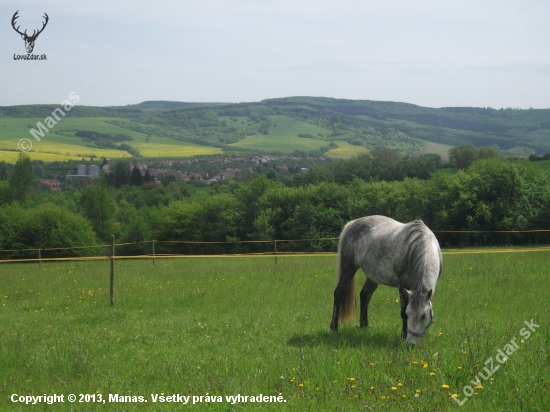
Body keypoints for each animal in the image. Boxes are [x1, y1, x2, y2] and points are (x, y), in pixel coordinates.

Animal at [332, 214, 444, 346]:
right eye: (409, 313)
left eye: (423, 316)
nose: (410, 345)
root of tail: (353, 223)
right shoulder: (402, 285)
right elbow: (402, 312)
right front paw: (403, 336)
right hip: (348, 268)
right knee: (339, 293)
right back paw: (334, 328)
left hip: (373, 275)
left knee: (365, 295)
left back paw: (364, 327)